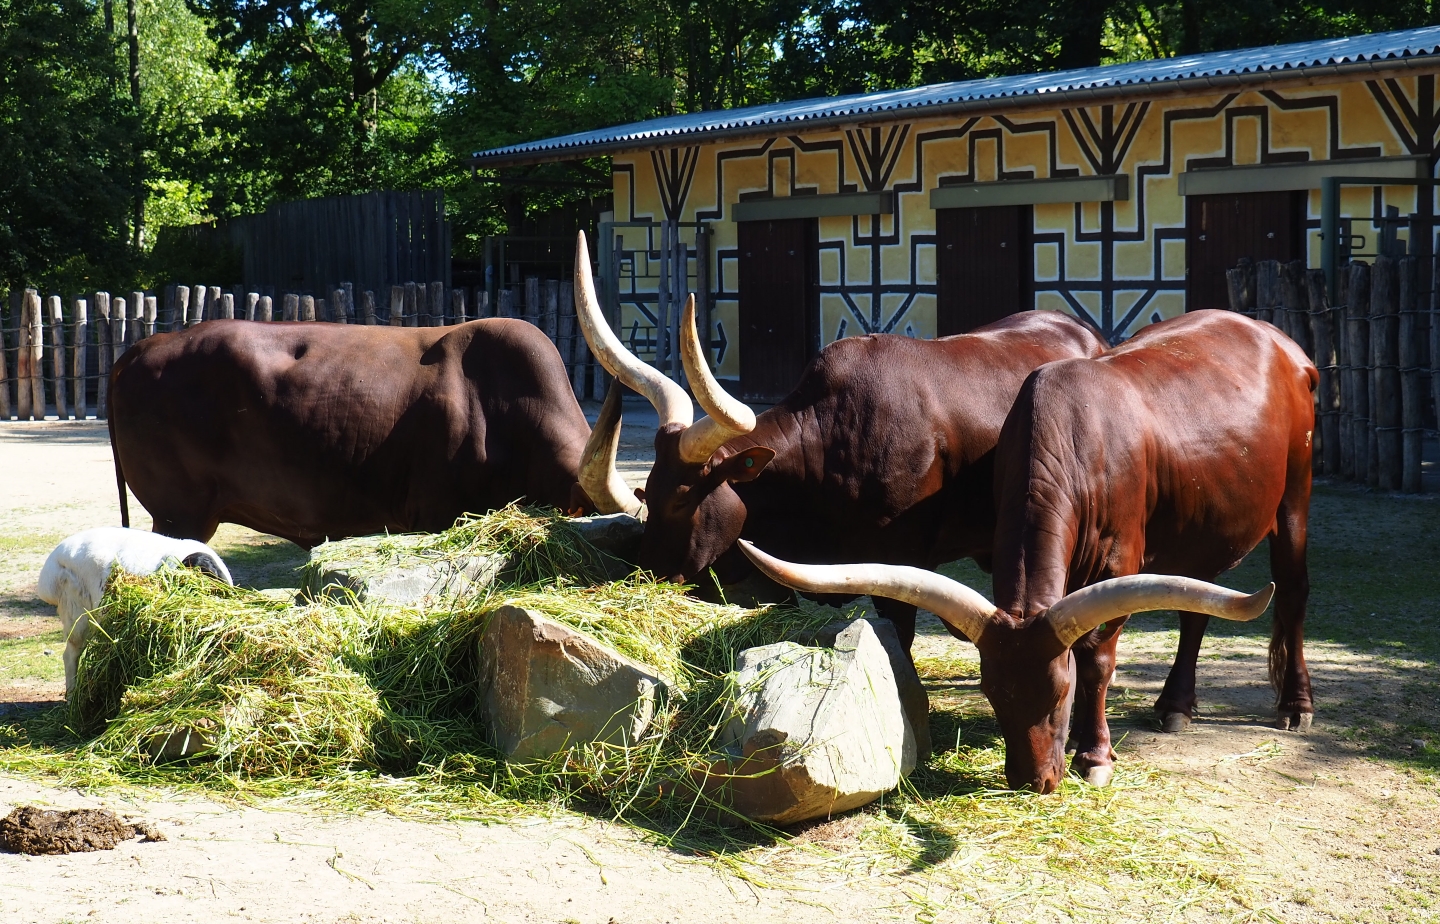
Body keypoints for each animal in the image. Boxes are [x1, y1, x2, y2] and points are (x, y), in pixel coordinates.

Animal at [739, 309, 1316, 793]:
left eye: (1058, 694)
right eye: (991, 693)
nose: (1031, 780)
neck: (1076, 438)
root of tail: (1278, 339)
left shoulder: (1120, 562)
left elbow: (1096, 659)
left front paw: (1094, 754)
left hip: (1295, 497)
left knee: (1290, 595)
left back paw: (1296, 705)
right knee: (1195, 608)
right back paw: (1176, 705)